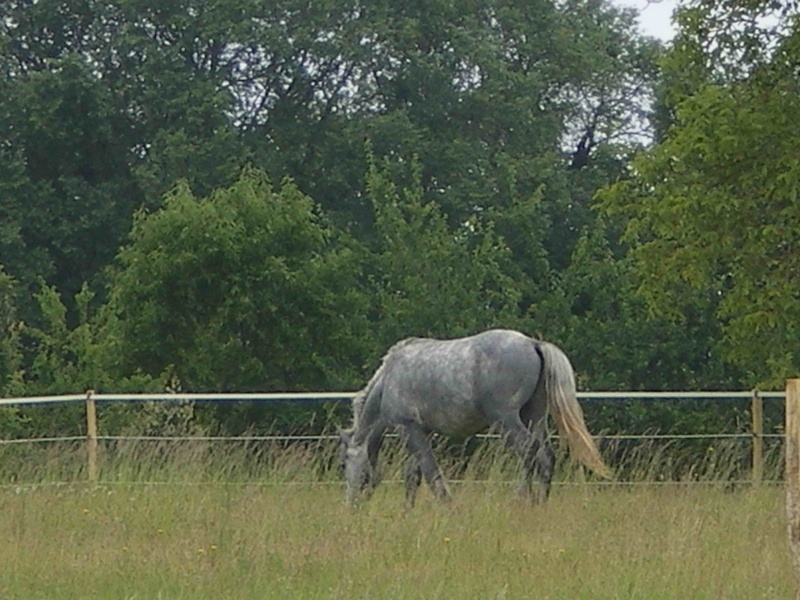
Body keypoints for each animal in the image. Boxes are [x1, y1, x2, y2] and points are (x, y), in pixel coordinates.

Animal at [340, 328, 608, 506]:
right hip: (536, 417)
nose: (352, 505)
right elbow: (413, 476)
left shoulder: (410, 430)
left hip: (507, 420)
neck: (388, 380)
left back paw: (521, 498)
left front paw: (447, 505)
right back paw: (539, 503)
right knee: (546, 456)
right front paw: (408, 510)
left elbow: (430, 472)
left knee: (528, 450)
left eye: (346, 463)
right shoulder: (421, 431)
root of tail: (534, 344)